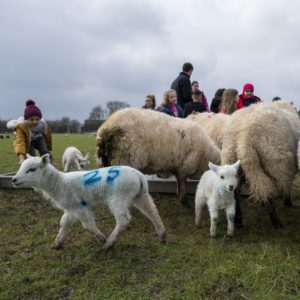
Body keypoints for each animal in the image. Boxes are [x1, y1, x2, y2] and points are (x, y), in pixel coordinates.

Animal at [11, 154, 166, 250]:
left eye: (32, 169)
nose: (14, 180)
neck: (59, 183)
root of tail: (139, 176)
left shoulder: (80, 207)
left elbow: (87, 225)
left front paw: (101, 238)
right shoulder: (71, 207)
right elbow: (64, 223)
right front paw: (57, 243)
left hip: (118, 197)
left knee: (124, 220)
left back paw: (109, 243)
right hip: (140, 195)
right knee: (152, 212)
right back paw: (162, 235)